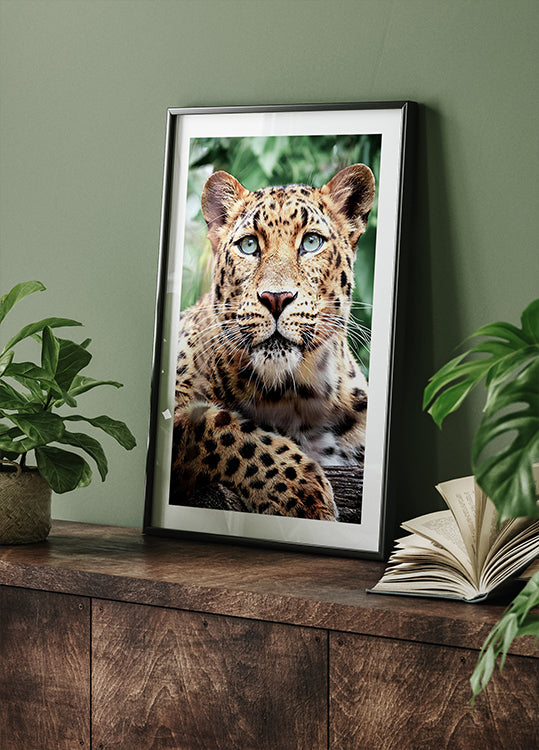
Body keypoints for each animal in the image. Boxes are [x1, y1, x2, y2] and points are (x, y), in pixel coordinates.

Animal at [170, 163, 375, 521]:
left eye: (311, 242)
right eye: (249, 246)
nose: (275, 298)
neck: (295, 395)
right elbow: (222, 427)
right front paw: (302, 494)